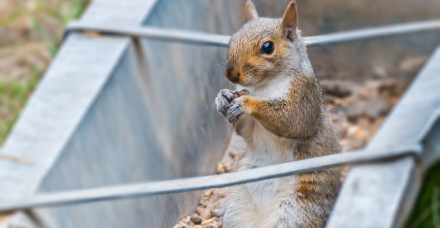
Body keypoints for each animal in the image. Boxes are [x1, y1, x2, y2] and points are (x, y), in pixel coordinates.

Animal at [215, 0, 342, 227]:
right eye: (231, 40)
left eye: (268, 47)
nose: (231, 74)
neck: (262, 87)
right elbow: (246, 130)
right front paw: (223, 97)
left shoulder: (304, 96)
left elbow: (293, 121)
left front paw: (246, 103)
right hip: (236, 211)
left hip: (295, 212)